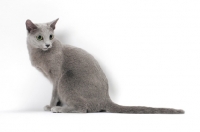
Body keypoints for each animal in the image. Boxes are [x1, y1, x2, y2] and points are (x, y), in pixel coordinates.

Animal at [25, 18, 184, 113]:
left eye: (51, 36)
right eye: (40, 37)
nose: (48, 44)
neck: (39, 54)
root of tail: (106, 99)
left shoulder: (57, 76)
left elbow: (54, 93)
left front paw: (51, 106)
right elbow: (55, 94)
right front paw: (54, 105)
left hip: (67, 79)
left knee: (82, 108)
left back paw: (60, 110)